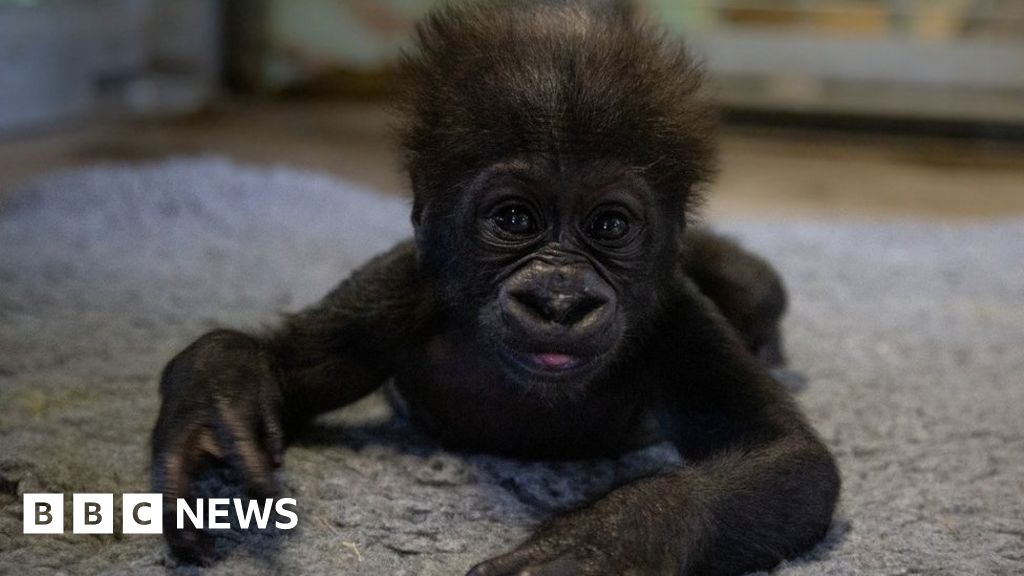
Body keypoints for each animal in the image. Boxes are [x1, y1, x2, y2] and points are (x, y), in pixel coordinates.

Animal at [151, 1, 839, 574]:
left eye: (610, 225)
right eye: (514, 219)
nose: (560, 301)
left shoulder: (674, 316)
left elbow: (791, 462)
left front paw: (605, 543)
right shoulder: (398, 289)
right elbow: (287, 365)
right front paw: (217, 400)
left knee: (755, 287)